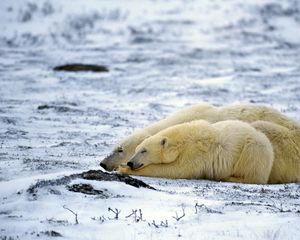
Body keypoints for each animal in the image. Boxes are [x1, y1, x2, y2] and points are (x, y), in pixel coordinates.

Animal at [118, 120, 274, 184]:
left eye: (143, 151)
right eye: (136, 150)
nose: (130, 162)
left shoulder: (195, 153)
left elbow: (178, 170)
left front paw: (123, 168)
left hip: (253, 149)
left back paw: (228, 177)